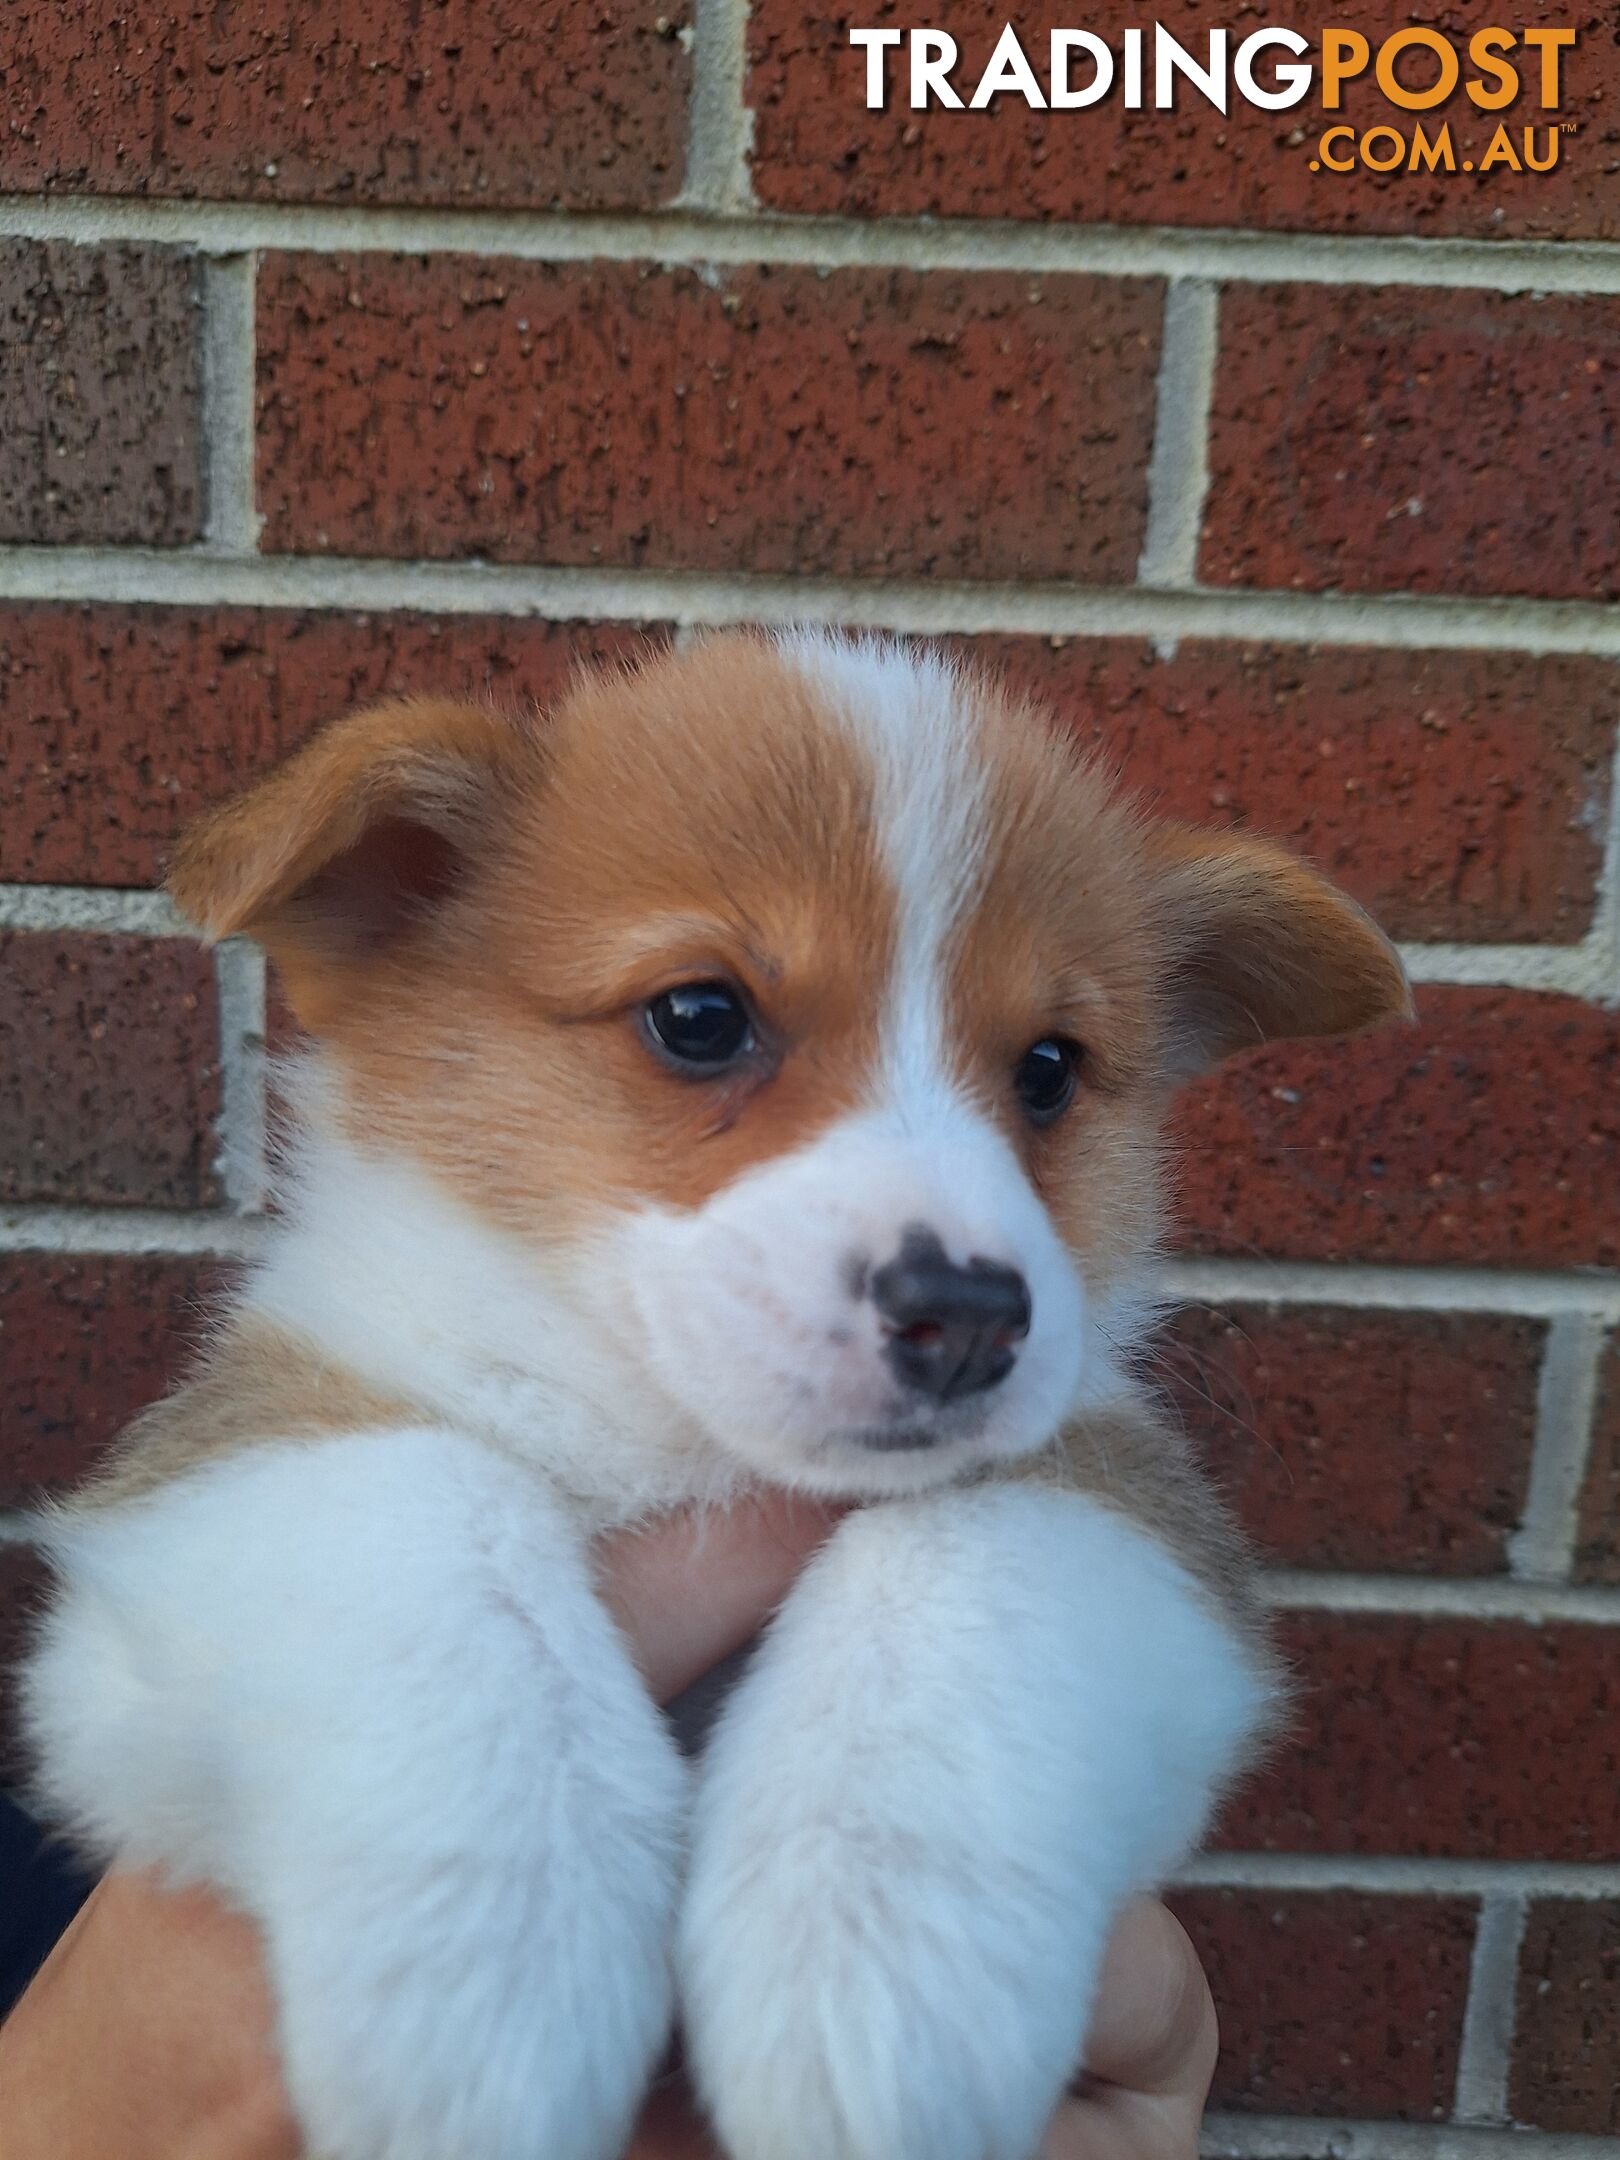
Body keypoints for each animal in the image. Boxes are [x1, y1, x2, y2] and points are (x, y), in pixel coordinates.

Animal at [25, 630, 1416, 2160]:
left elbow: (971, 1565)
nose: (970, 1320)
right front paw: (499, 1962)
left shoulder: (1129, 1507)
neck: (668, 1436)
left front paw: (870, 1954)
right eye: (700, 1017)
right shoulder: (203, 1507)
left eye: (1051, 1069)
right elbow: (433, 1521)